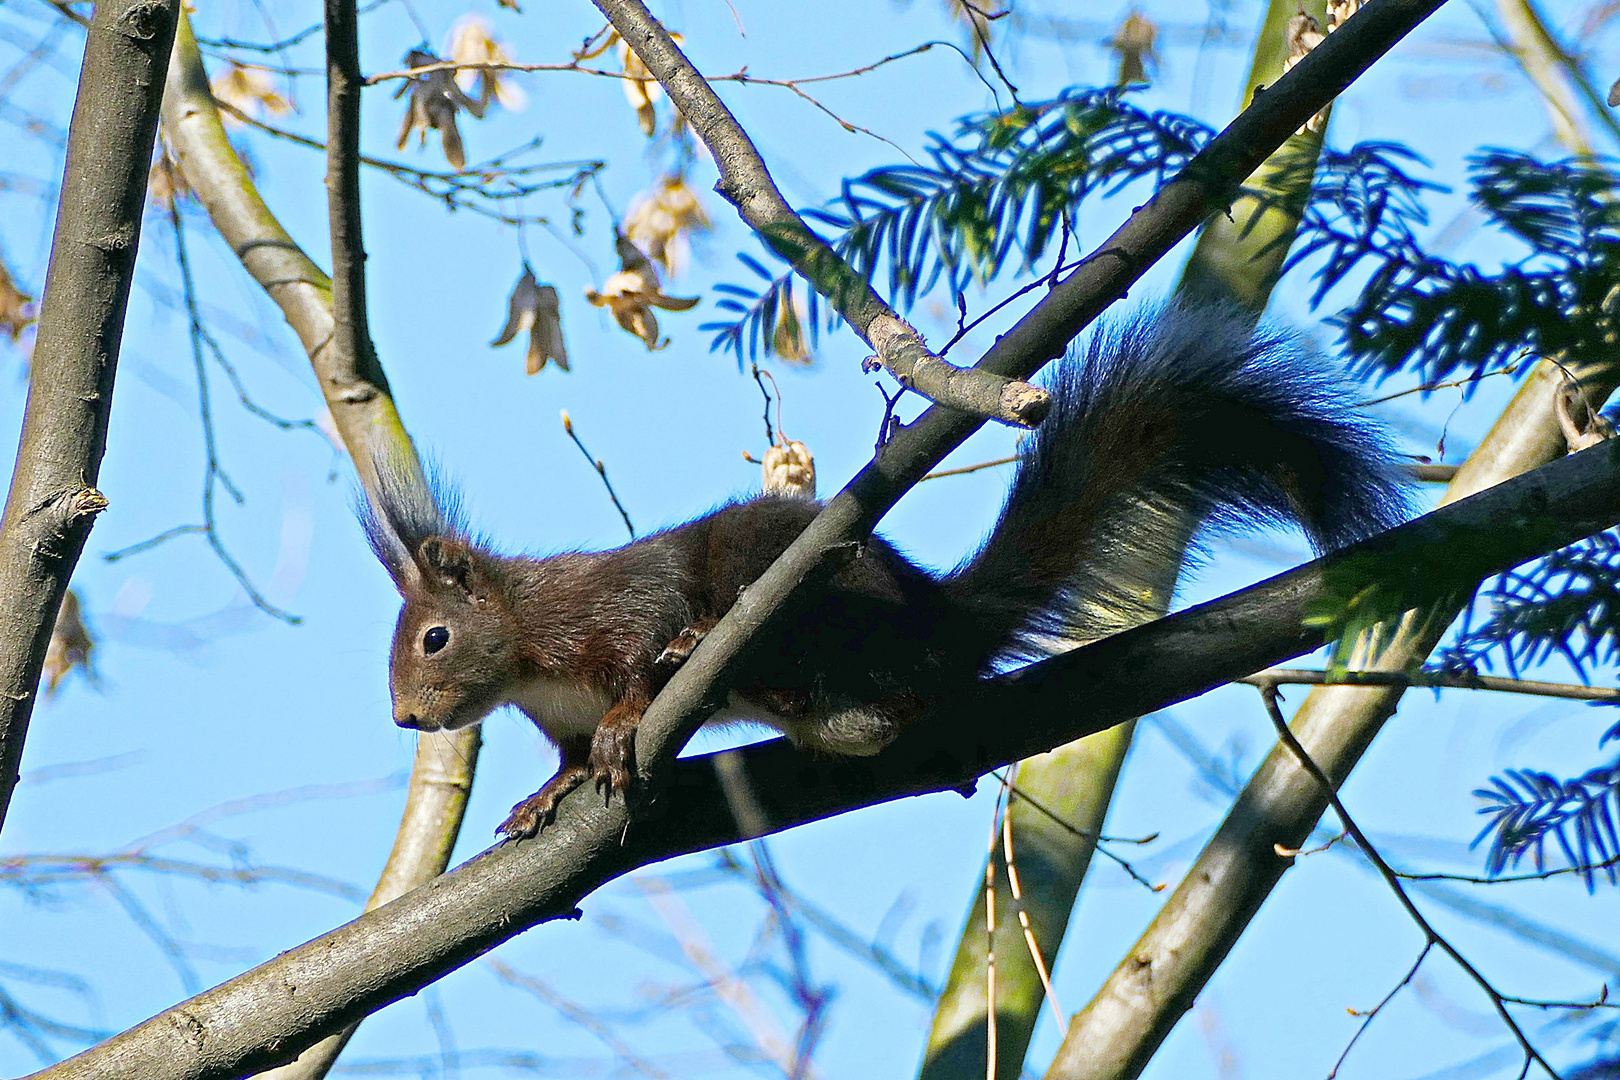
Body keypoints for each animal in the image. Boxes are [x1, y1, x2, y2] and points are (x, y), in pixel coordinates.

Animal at [364, 304, 1406, 835]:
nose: (405, 718)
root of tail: (939, 619)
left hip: (806, 594)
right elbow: (569, 760)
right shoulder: (556, 714)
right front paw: (544, 798)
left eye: (435, 636)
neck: (526, 653)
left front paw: (628, 723)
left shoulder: (609, 610)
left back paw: (719, 651)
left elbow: (636, 654)